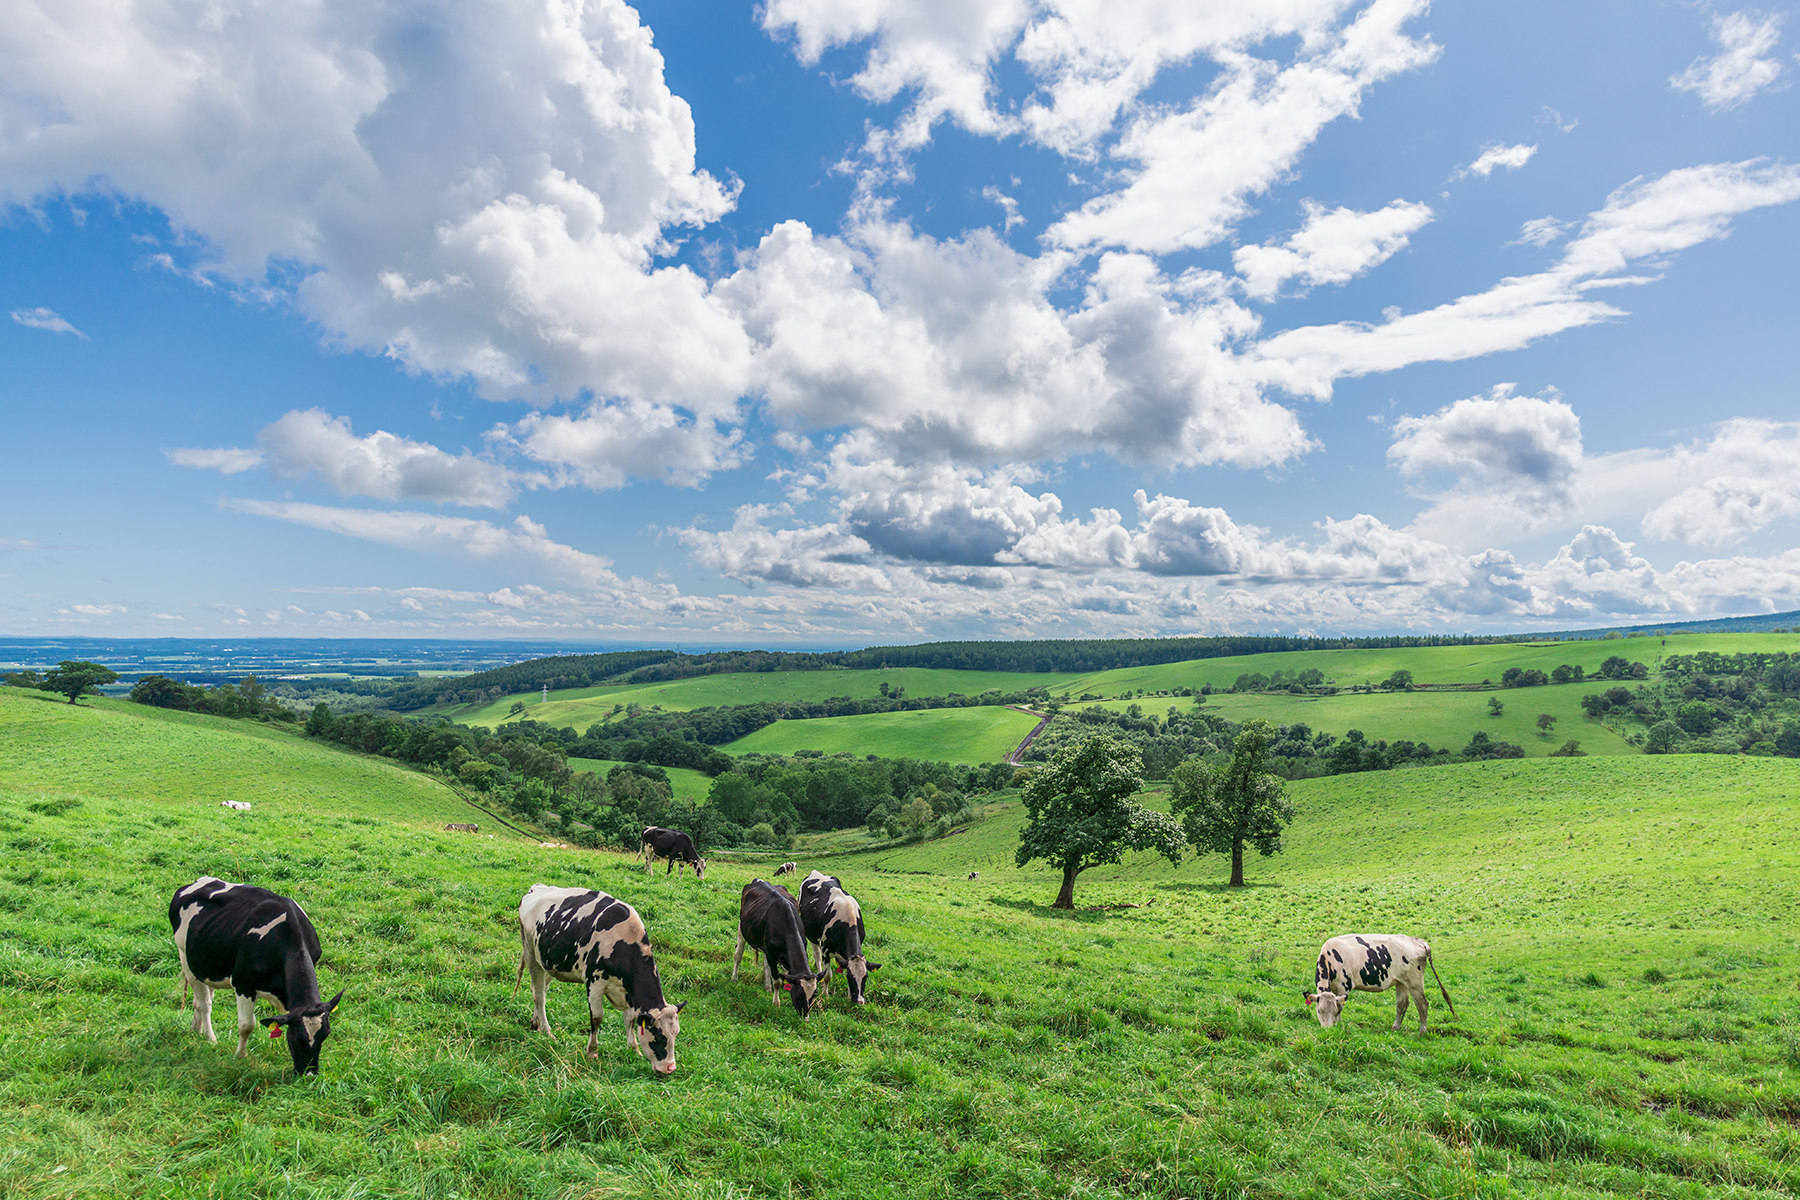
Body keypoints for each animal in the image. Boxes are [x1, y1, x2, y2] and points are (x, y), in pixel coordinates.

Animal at [167, 874, 342, 1079]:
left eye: (325, 1035)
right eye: (298, 1038)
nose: (309, 1075)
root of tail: (197, 882)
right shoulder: (244, 985)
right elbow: (246, 1026)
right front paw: (240, 1057)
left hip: (208, 963)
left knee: (201, 998)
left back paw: (196, 1030)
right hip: (186, 958)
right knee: (204, 1004)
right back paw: (210, 1038)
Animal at [525, 888, 691, 1072]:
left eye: (676, 1034)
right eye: (659, 1037)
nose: (670, 1068)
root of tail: (538, 888)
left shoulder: (628, 991)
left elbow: (630, 1020)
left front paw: (634, 1050)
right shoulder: (595, 982)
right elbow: (597, 1018)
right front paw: (592, 1052)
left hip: (548, 963)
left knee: (540, 990)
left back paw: (535, 1022)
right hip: (531, 954)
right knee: (539, 996)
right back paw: (547, 1031)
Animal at [730, 877, 824, 1021]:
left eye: (814, 995)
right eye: (799, 994)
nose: (806, 1018)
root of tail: (757, 880)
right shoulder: (771, 954)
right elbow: (778, 981)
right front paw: (776, 1003)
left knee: (764, 964)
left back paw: (767, 986)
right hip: (742, 929)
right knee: (738, 955)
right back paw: (734, 978)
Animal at [806, 867, 882, 1007]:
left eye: (865, 977)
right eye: (851, 977)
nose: (859, 1000)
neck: (848, 920)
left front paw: (849, 995)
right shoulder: (826, 951)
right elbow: (828, 975)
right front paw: (825, 994)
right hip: (811, 934)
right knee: (816, 955)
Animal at [1303, 935, 1454, 1036]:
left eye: (1333, 1011)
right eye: (1319, 1011)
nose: (1327, 1030)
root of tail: (1419, 941)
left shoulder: (1343, 987)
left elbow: (1341, 1007)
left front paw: (1338, 1025)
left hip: (1414, 982)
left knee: (1422, 1004)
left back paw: (1422, 1031)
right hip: (1401, 982)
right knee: (1402, 1004)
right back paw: (1395, 1028)